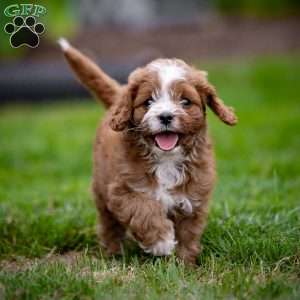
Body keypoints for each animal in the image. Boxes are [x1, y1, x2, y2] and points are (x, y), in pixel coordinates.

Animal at [58, 38, 237, 264]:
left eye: (185, 101)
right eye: (148, 101)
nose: (166, 116)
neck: (166, 159)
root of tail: (118, 98)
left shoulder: (194, 194)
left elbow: (188, 232)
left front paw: (184, 263)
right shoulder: (122, 189)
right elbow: (144, 211)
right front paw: (162, 243)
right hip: (101, 187)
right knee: (108, 224)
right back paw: (113, 253)